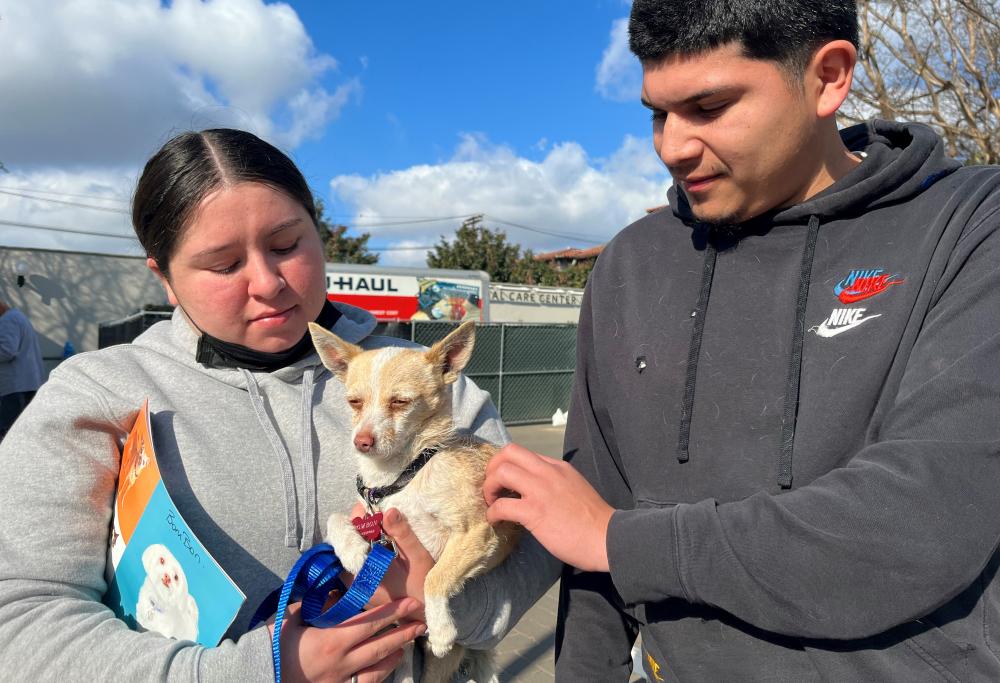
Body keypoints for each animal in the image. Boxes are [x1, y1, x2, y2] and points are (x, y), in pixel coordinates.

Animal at [308, 322, 520, 683]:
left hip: (447, 661)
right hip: (403, 644)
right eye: (354, 402)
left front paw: (442, 627)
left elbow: (433, 577)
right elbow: (335, 518)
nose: (361, 441)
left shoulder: (478, 534)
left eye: (400, 402)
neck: (401, 475)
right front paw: (352, 550)